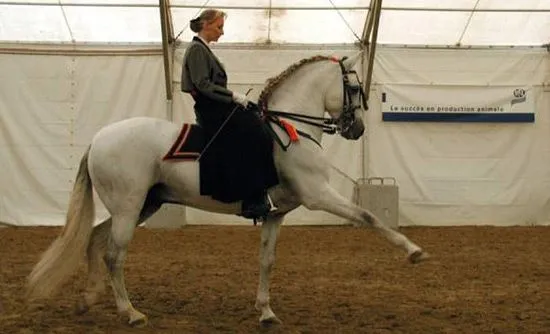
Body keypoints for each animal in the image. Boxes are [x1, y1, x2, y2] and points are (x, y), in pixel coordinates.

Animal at [27, 51, 426, 328]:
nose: (357, 129)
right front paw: (414, 251)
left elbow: (267, 260)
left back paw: (88, 300)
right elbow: (368, 216)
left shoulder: (276, 214)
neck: (290, 129)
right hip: (128, 207)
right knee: (113, 254)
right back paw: (131, 313)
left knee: (95, 240)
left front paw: (265, 312)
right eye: (354, 88)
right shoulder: (319, 196)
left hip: (142, 206)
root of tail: (98, 139)